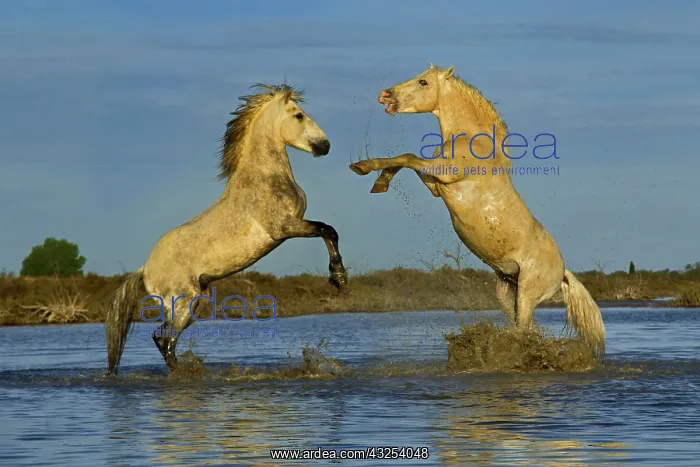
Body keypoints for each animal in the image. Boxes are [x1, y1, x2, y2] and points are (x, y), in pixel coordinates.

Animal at [105, 83, 348, 375]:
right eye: (299, 115)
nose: (325, 146)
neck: (263, 178)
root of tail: (144, 269)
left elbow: (328, 231)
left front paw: (339, 278)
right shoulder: (284, 227)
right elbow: (328, 230)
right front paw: (339, 278)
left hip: (197, 303)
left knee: (164, 337)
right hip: (184, 302)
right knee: (164, 339)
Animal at [349, 64, 605, 361]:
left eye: (423, 82)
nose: (385, 95)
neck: (469, 141)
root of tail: (562, 272)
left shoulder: (443, 173)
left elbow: (408, 156)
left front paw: (363, 166)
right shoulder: (435, 185)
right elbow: (405, 161)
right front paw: (380, 181)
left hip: (528, 294)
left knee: (523, 330)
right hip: (507, 292)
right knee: (522, 328)